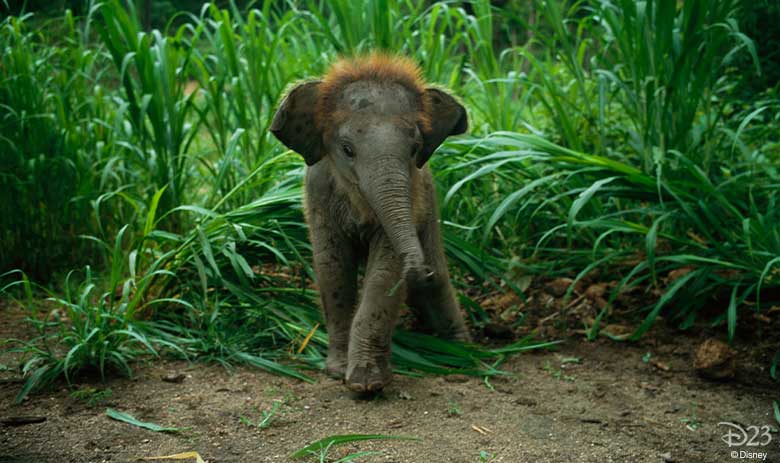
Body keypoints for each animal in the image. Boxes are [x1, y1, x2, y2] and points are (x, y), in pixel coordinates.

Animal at [272, 55, 472, 396]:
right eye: (347, 150)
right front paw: (338, 372)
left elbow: (384, 274)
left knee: (439, 283)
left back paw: (464, 354)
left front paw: (367, 384)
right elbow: (333, 268)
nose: (419, 270)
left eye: (415, 149)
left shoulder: (413, 195)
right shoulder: (318, 193)